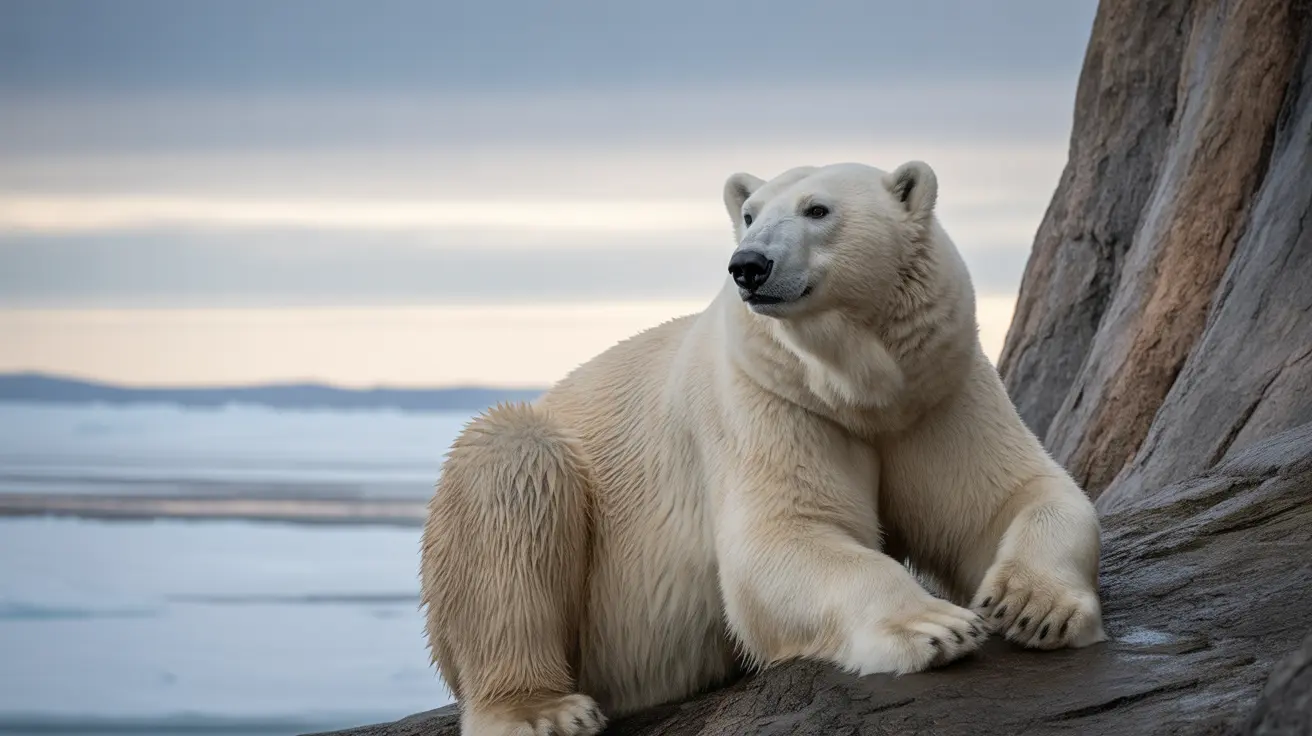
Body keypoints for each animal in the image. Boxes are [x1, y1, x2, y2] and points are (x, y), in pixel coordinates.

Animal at [420, 160, 1106, 736]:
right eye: (749, 213)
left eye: (817, 209)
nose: (748, 264)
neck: (855, 392)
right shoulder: (764, 400)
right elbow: (780, 541)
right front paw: (936, 626)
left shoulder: (936, 388)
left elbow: (1012, 494)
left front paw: (1031, 606)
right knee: (512, 471)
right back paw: (543, 711)